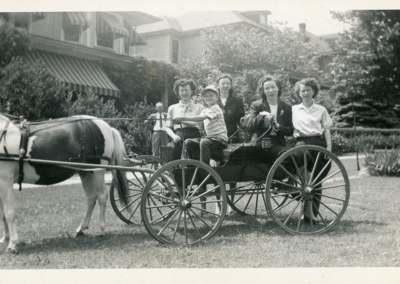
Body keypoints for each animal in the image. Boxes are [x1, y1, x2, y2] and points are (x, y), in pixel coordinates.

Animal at [0, 114, 128, 252]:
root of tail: (106, 126)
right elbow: (3, 213)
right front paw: (5, 238)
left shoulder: (5, 181)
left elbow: (9, 213)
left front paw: (12, 244)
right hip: (85, 172)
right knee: (91, 198)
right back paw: (81, 228)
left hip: (97, 170)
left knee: (102, 196)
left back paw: (102, 228)